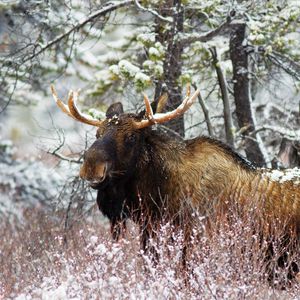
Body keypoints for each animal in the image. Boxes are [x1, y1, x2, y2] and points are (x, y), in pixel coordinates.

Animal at [51, 85, 300, 284]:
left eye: (131, 137)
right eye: (97, 133)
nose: (92, 167)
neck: (156, 198)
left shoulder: (195, 245)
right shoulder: (150, 235)